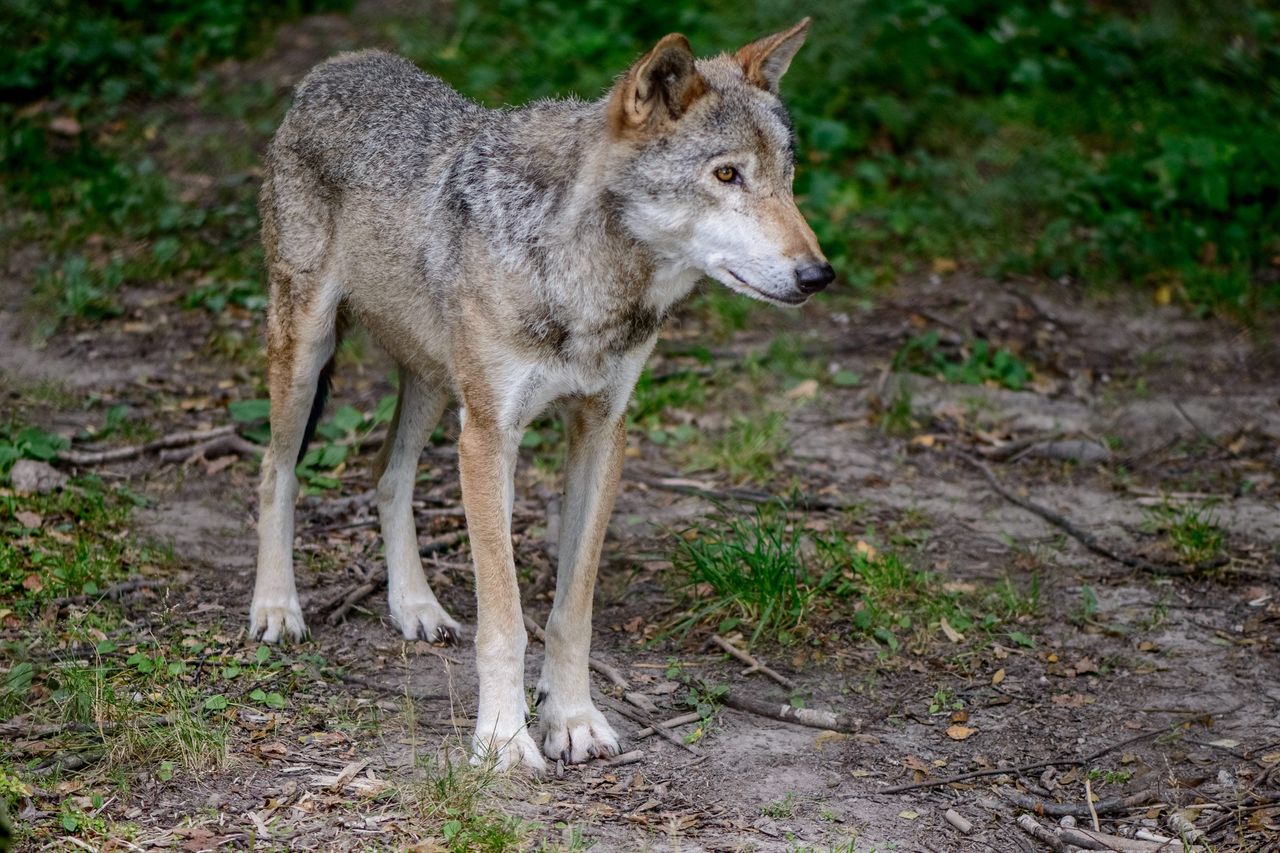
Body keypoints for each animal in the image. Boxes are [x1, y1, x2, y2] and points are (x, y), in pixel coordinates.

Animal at [249, 16, 834, 768]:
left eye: (788, 178)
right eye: (727, 174)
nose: (818, 274)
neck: (587, 281)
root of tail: (337, 64)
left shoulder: (602, 431)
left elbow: (569, 612)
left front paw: (573, 719)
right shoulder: (489, 436)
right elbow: (505, 620)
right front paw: (502, 739)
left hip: (433, 384)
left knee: (387, 474)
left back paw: (415, 605)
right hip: (310, 356)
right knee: (277, 468)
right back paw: (275, 608)